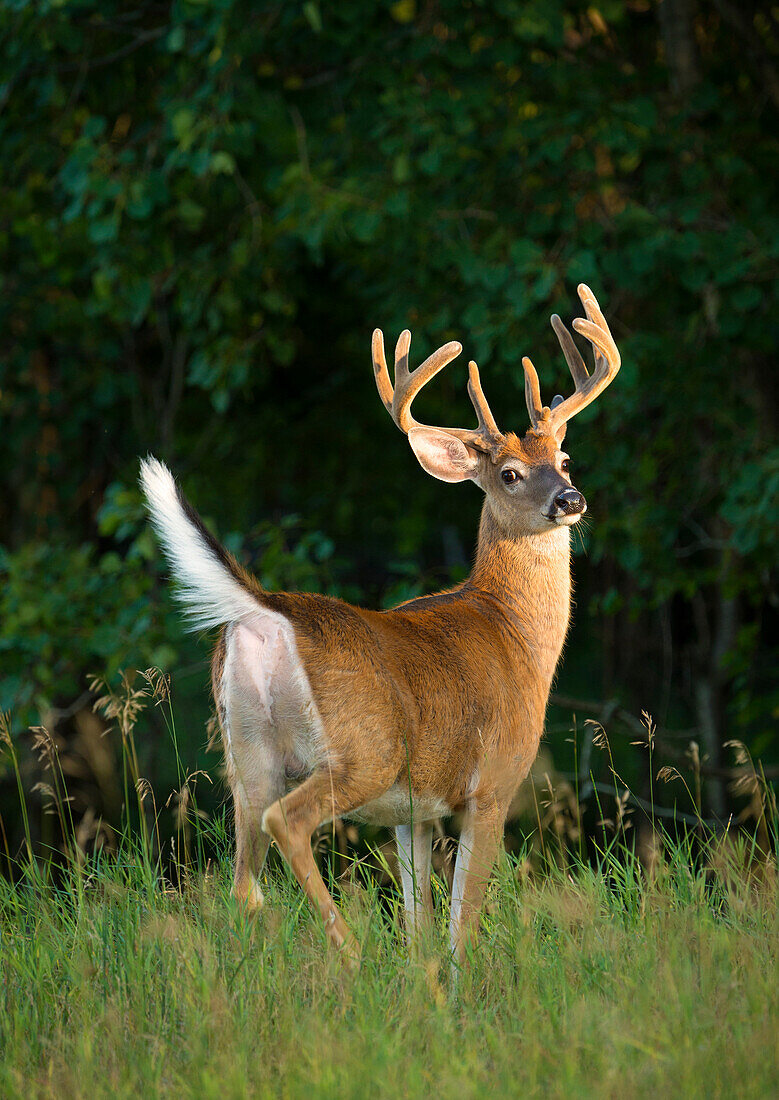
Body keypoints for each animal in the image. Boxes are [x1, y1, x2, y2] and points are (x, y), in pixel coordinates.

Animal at [139, 283, 620, 972]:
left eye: (564, 456)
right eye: (509, 474)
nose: (570, 500)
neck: (516, 634)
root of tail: (264, 608)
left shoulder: (412, 809)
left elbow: (420, 920)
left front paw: (422, 983)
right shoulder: (492, 782)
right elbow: (461, 921)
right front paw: (458, 985)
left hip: (245, 749)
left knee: (241, 876)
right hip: (361, 747)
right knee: (287, 824)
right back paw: (347, 952)